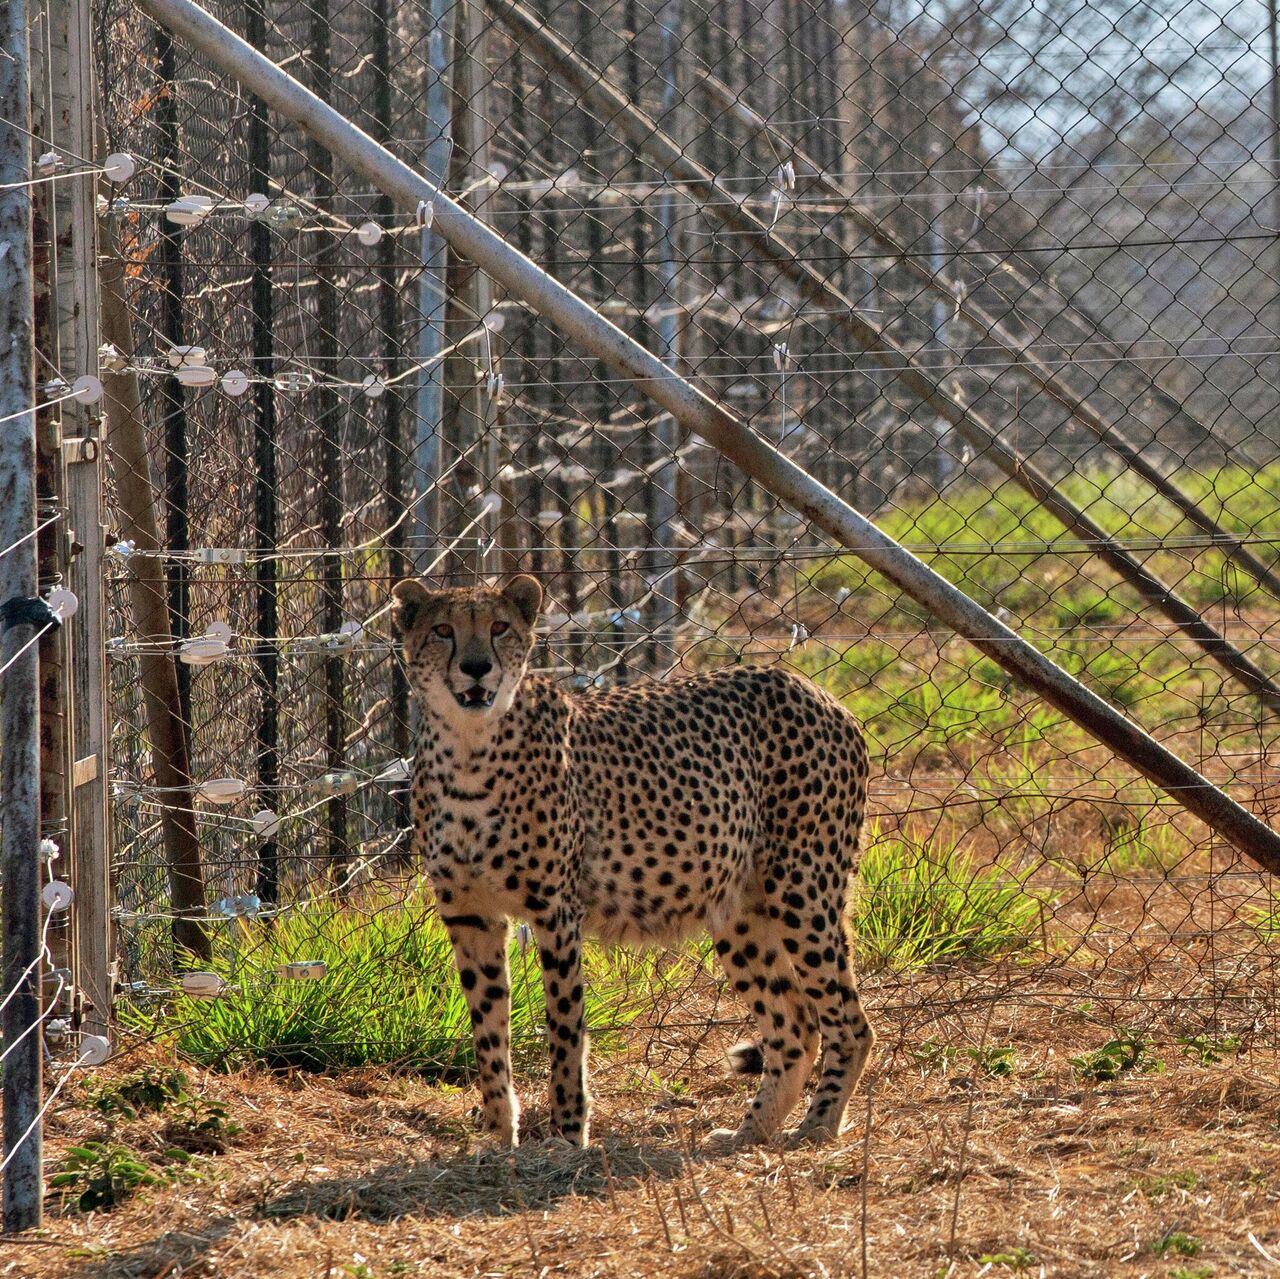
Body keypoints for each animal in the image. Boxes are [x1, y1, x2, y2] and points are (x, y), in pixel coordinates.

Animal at [394, 573, 875, 1152]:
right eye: (443, 630)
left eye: (499, 627)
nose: (476, 666)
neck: (469, 748)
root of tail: (810, 688)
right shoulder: (470, 915)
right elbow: (487, 1030)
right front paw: (496, 1136)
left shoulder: (556, 912)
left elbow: (564, 1030)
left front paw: (567, 1136)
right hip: (739, 912)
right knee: (795, 1027)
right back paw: (748, 1133)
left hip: (802, 892)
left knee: (849, 1022)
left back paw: (818, 1126)